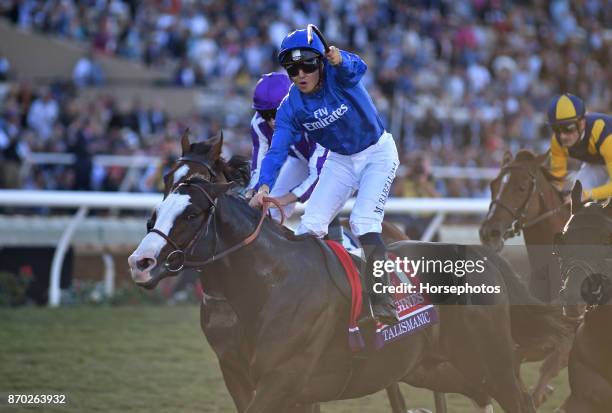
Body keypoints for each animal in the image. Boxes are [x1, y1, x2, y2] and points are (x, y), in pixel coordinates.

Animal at [129, 163, 572, 410]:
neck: (270, 282)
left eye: (191, 215)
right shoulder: (242, 377)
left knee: (521, 400)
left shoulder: (282, 379)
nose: (140, 262)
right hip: (438, 367)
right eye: (155, 212)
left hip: (492, 361)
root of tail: (485, 256)